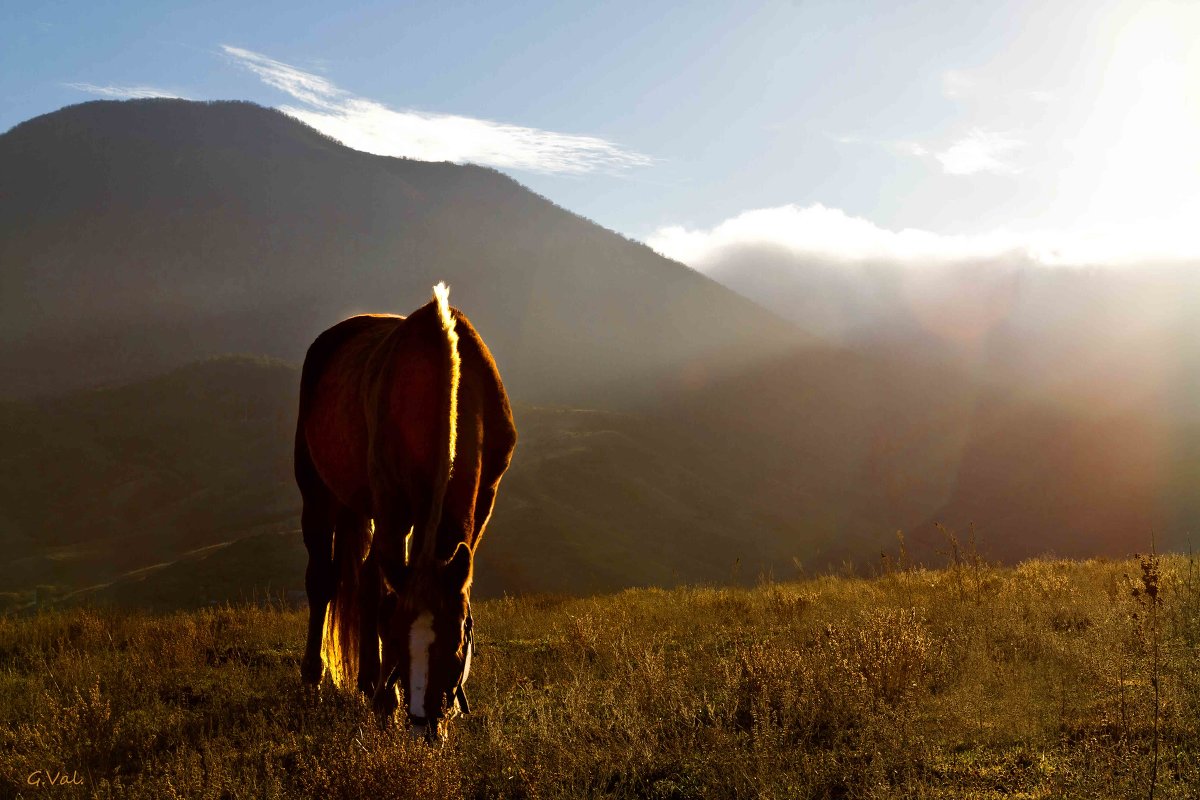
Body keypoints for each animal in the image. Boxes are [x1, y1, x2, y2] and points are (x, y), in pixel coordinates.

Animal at [294, 284, 516, 743]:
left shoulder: (484, 499)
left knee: (363, 580)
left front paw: (380, 692)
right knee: (323, 581)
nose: (426, 725)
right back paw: (315, 679)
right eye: (397, 640)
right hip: (318, 492)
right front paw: (386, 702)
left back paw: (366, 681)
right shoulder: (392, 507)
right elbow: (383, 601)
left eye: (455, 645)